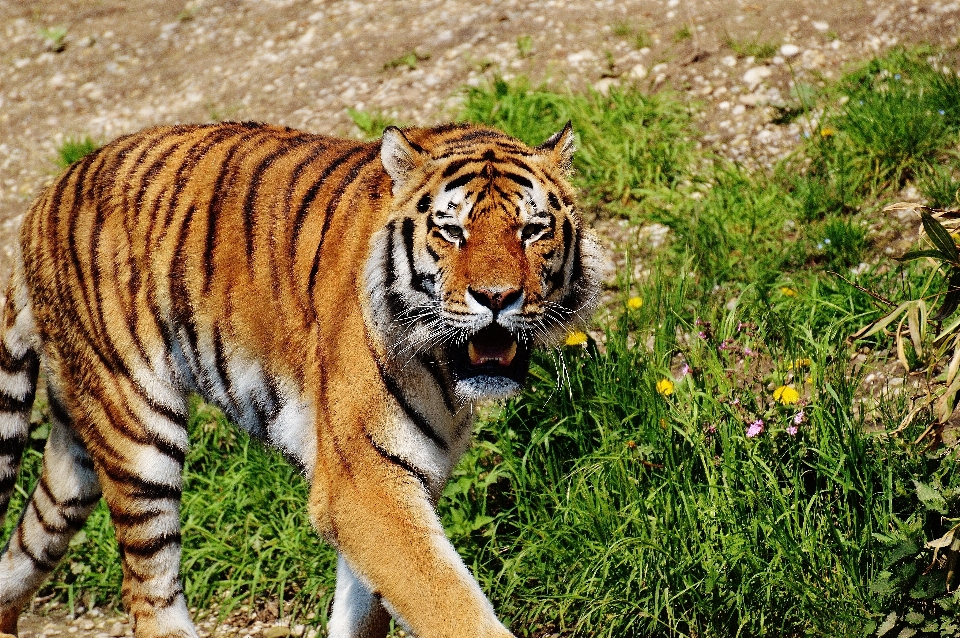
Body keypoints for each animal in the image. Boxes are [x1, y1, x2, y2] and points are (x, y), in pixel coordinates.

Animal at [0, 121, 600, 638]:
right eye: (452, 231)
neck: (446, 371)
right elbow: (446, 601)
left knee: (24, 550)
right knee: (148, 595)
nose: (498, 298)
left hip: (76, 452)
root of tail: (41, 203)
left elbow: (364, 609)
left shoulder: (389, 483)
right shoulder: (363, 481)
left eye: (533, 230)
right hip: (138, 432)